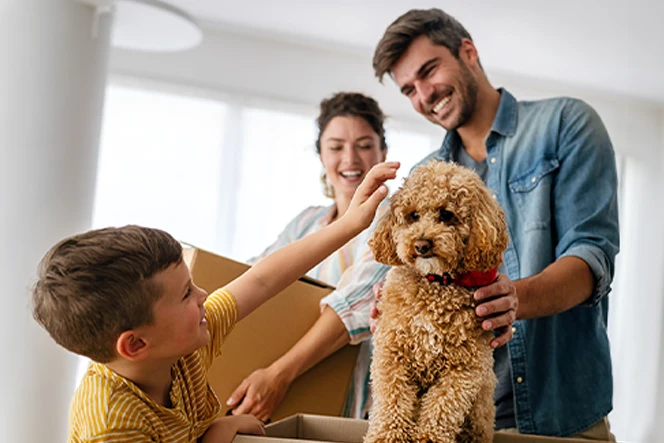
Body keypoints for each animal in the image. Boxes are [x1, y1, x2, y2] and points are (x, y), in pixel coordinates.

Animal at [364, 160, 508, 443]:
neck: (435, 283)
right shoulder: (392, 353)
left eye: (446, 214)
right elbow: (392, 399)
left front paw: (428, 438)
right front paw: (388, 435)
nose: (421, 244)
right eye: (413, 216)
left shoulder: (464, 368)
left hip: (480, 412)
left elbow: (443, 406)